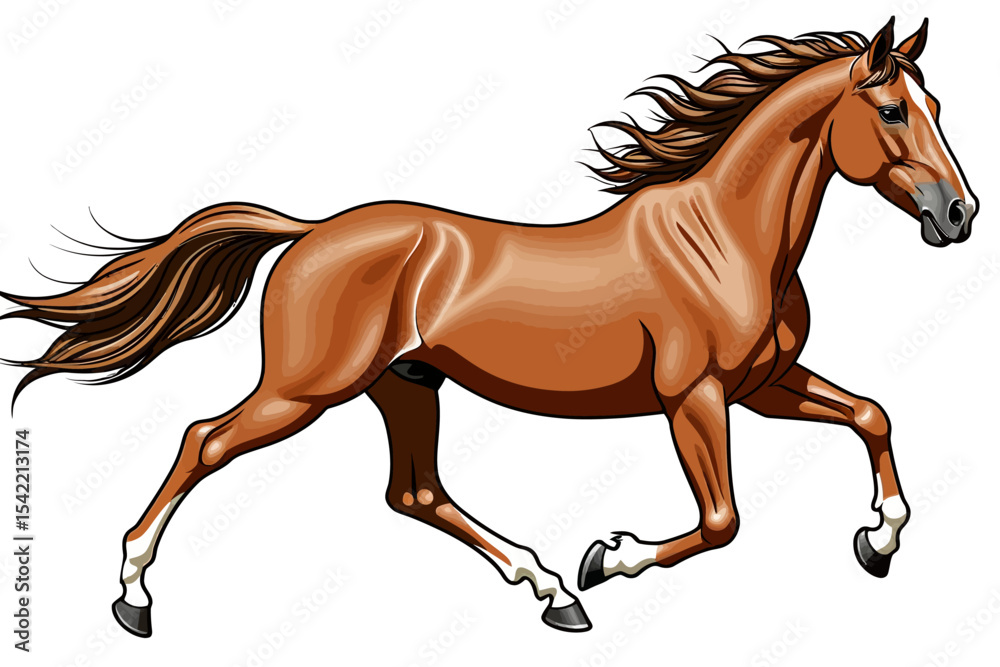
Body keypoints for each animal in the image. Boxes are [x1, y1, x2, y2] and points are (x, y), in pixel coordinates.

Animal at [0, 17, 977, 636]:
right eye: (892, 110)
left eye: (938, 109)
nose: (959, 215)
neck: (726, 237)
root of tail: (310, 231)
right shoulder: (694, 397)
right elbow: (723, 518)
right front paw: (606, 558)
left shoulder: (763, 386)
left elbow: (873, 415)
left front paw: (878, 543)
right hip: (306, 388)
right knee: (205, 438)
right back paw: (133, 593)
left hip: (403, 385)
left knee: (414, 491)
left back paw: (548, 591)